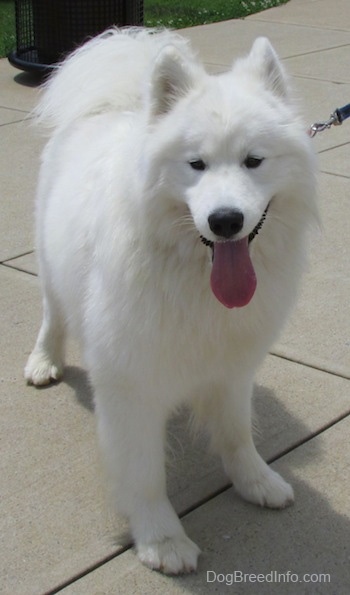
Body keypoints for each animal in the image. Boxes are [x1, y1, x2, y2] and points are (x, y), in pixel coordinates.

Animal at [25, 29, 318, 576]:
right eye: (195, 164)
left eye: (254, 160)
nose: (225, 220)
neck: (194, 278)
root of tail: (114, 105)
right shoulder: (129, 383)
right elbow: (144, 474)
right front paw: (161, 540)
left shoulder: (232, 367)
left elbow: (237, 433)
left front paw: (256, 481)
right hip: (50, 267)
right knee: (53, 315)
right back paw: (43, 361)